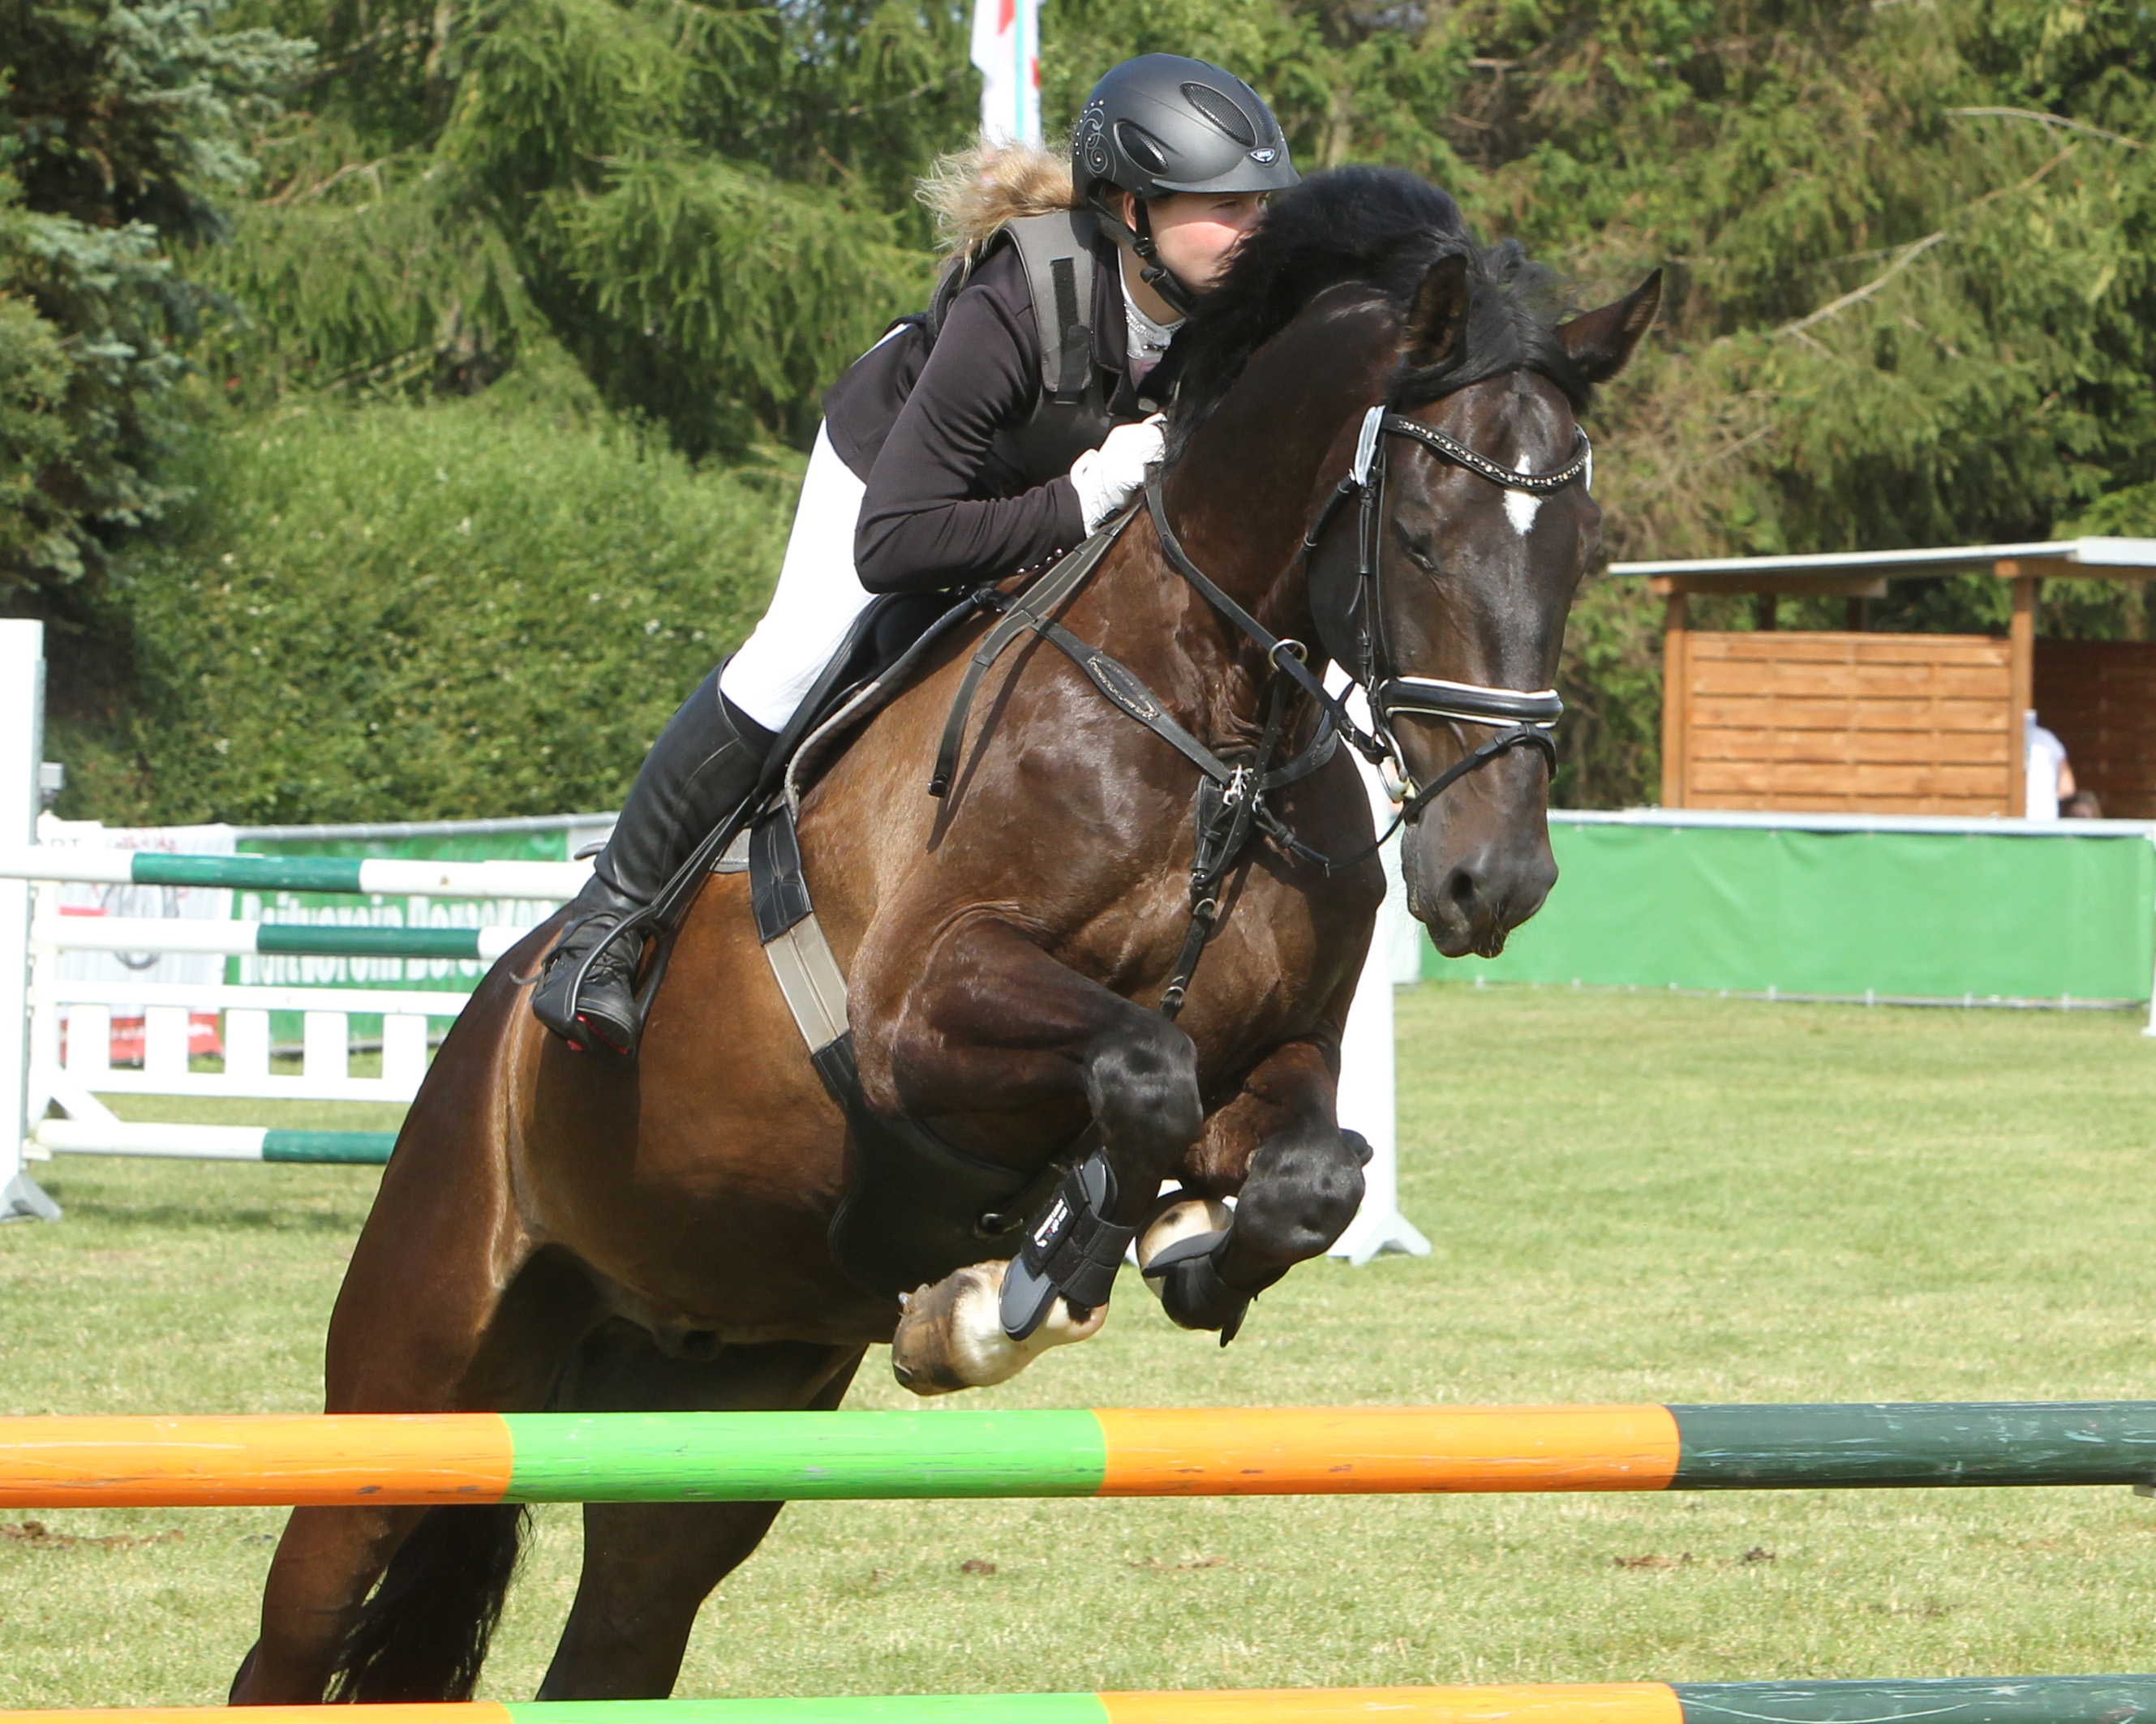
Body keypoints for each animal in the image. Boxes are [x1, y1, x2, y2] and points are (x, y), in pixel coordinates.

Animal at [231, 165, 1647, 1706]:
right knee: (292, 1630)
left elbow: (1310, 1171)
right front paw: (1028, 1277)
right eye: (1420, 534)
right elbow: (1136, 1067)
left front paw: (1183, 1252)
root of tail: (481, 1038)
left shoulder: (1276, 1058)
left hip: (710, 1405)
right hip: (412, 1386)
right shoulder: (918, 1016)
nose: (1493, 881)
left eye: (1582, 554)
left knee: (617, 1631)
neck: (1212, 723)